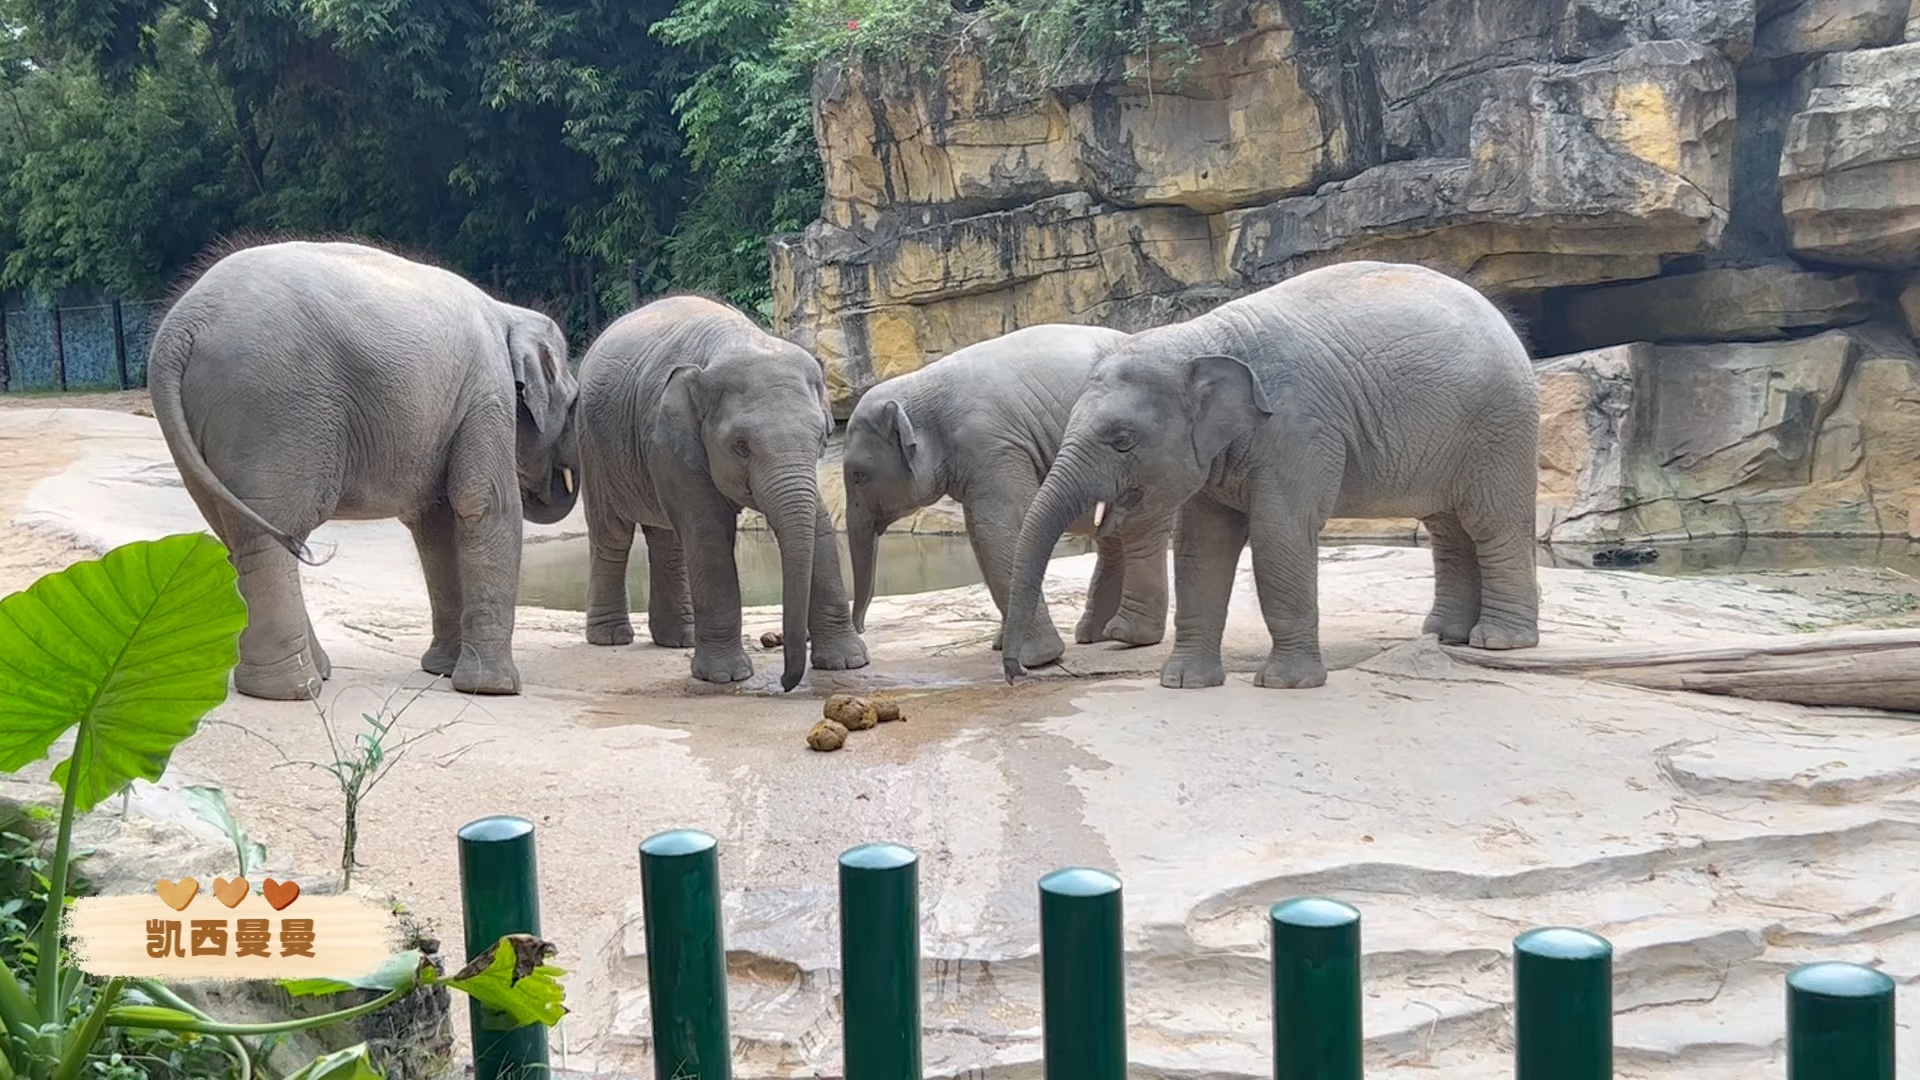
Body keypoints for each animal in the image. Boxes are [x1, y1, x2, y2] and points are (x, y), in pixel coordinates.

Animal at [149, 237, 576, 699]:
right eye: (573, 404)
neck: (506, 311)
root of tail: (179, 330)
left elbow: (436, 523)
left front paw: (441, 671)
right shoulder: (488, 392)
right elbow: (485, 506)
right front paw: (494, 689)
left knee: (240, 532)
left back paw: (303, 677)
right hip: (274, 407)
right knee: (274, 531)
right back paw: (294, 689)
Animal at [572, 292, 867, 687]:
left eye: (822, 437)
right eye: (741, 447)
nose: (786, 682)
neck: (739, 341)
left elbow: (818, 522)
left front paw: (848, 663)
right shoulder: (671, 437)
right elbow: (708, 532)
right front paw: (725, 677)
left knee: (667, 538)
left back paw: (679, 639)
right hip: (592, 446)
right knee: (612, 534)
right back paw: (612, 638)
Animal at [840, 319, 1167, 661]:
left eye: (858, 475)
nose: (862, 630)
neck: (920, 384)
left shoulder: (993, 446)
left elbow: (1000, 530)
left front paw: (1035, 658)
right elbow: (978, 534)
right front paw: (1003, 645)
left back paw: (1127, 637)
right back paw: (1093, 635)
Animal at [998, 255, 1536, 684]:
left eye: (1122, 441)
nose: (1016, 673)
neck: (1199, 336)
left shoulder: (1300, 428)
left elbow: (1280, 534)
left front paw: (1284, 684)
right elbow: (1202, 544)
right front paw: (1183, 683)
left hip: (1500, 426)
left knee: (1492, 523)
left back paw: (1497, 642)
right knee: (1448, 528)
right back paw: (1445, 634)